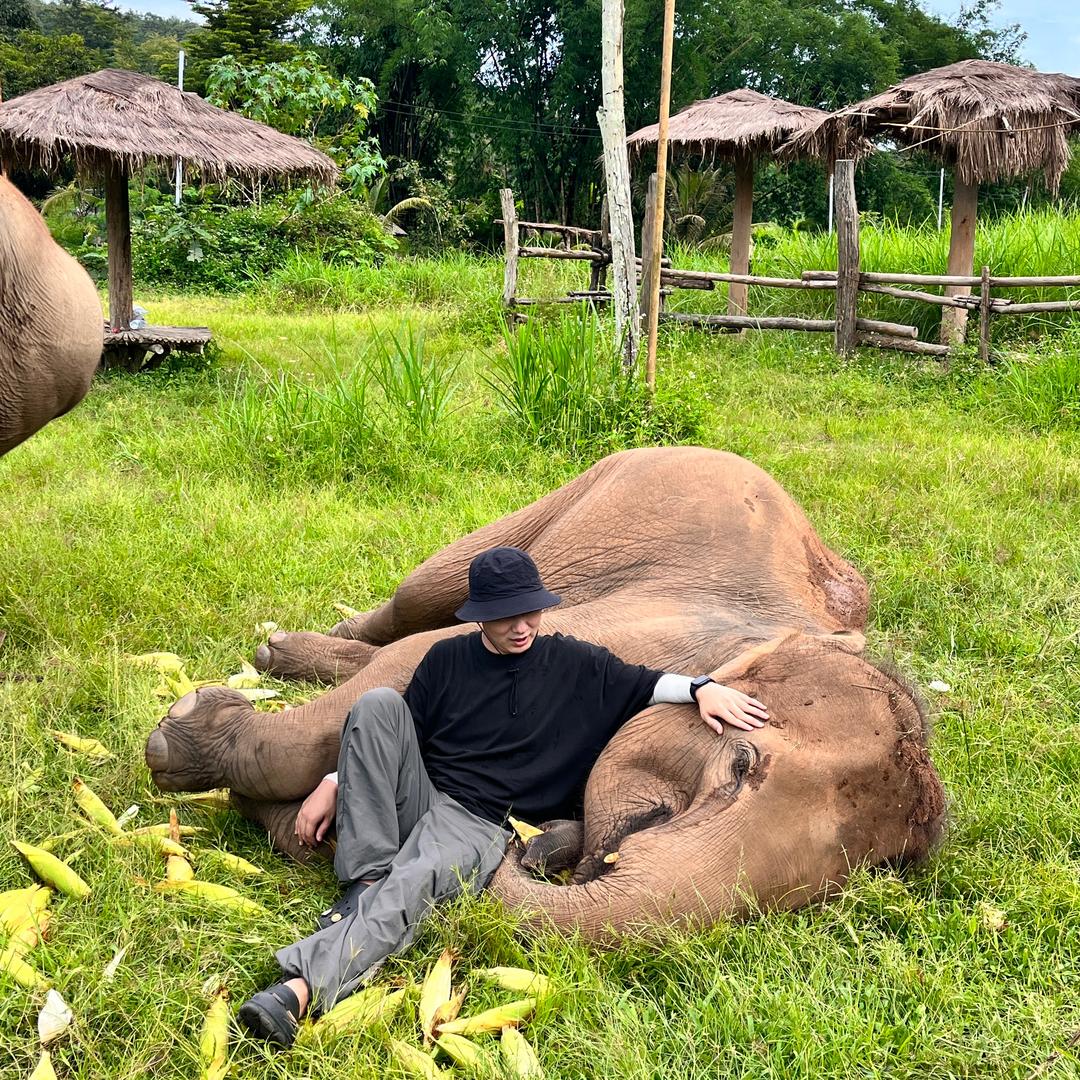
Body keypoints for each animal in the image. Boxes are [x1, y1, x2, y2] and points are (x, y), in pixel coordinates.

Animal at [145, 446, 945, 936]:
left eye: (813, 896)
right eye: (742, 766)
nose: (516, 849)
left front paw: (551, 841)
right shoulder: (630, 629)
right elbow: (415, 663)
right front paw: (189, 734)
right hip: (562, 500)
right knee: (416, 601)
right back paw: (274, 651)